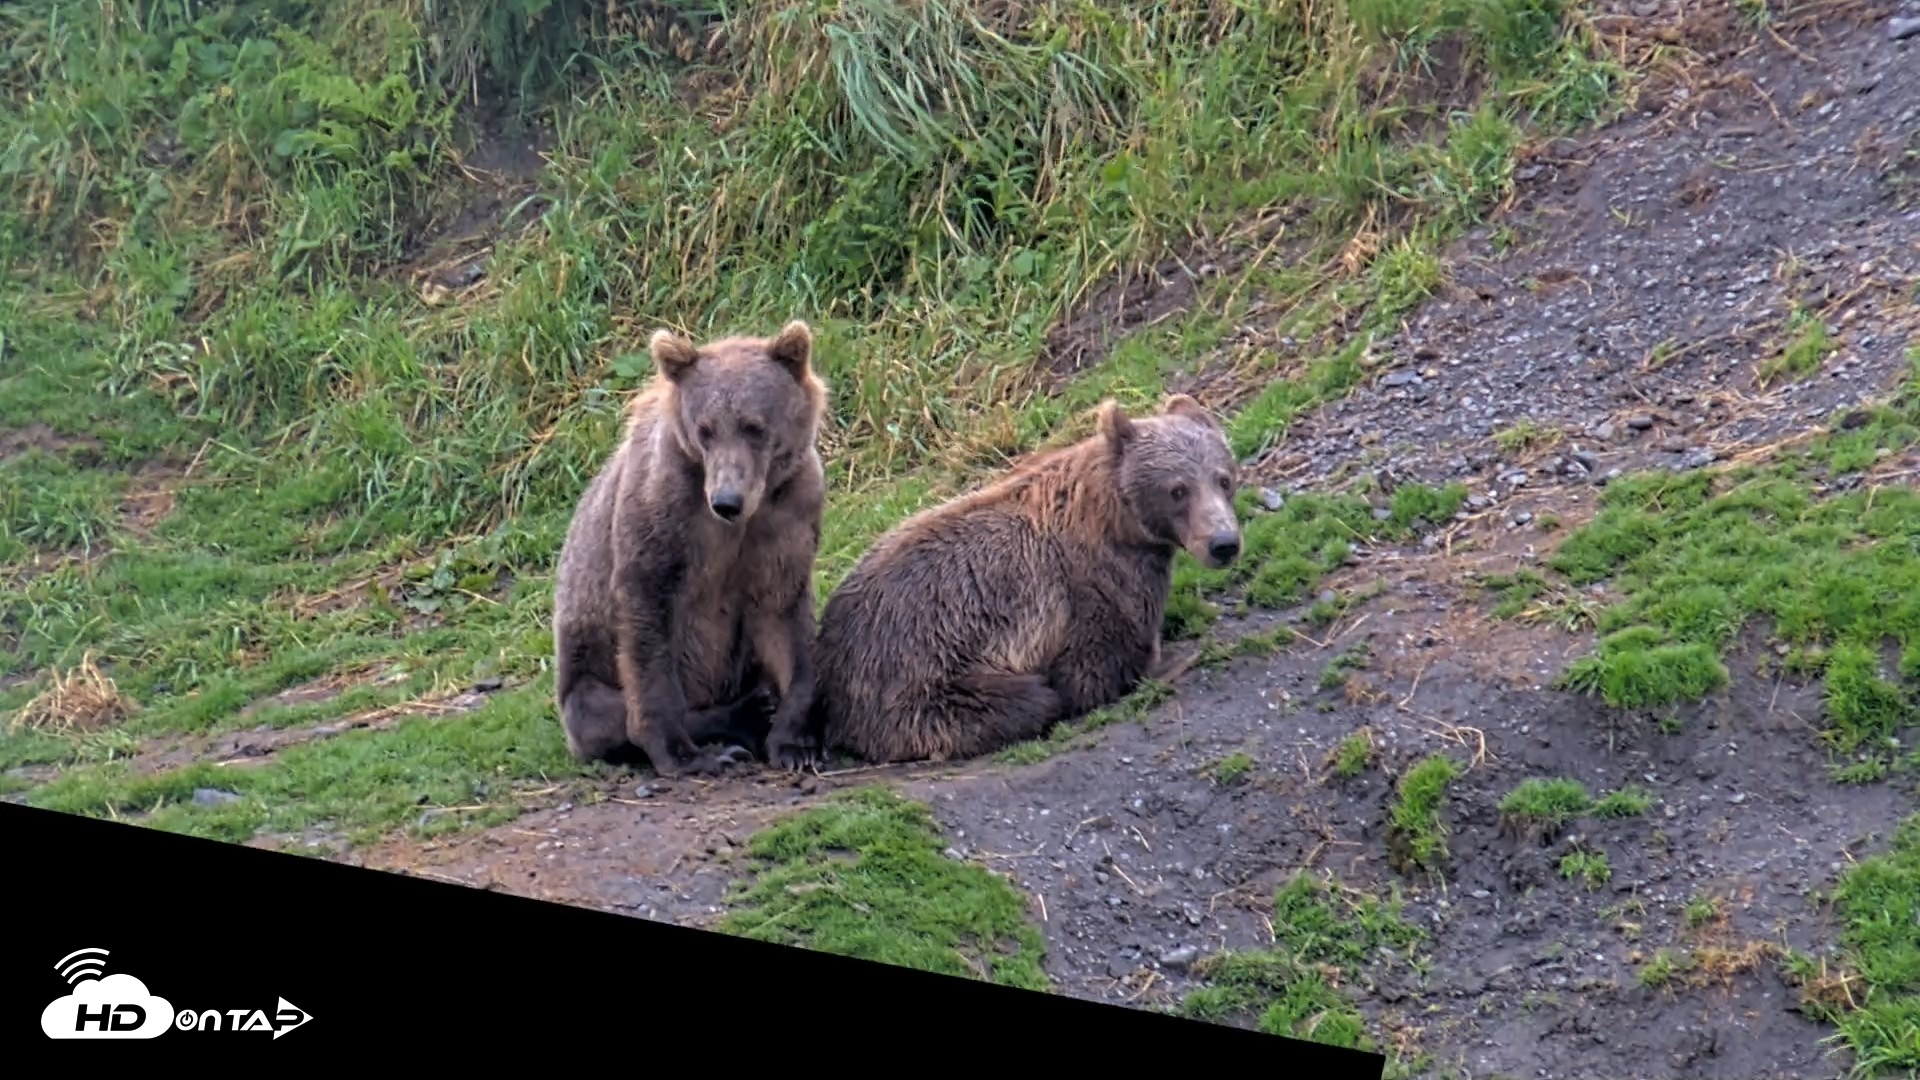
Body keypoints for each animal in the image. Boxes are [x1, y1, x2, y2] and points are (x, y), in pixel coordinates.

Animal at [552, 319, 830, 776]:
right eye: (706, 430)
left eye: (755, 426)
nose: (726, 501)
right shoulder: (662, 515)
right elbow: (648, 628)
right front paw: (685, 753)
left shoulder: (788, 514)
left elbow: (785, 617)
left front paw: (796, 742)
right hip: (586, 673)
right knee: (601, 714)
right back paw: (739, 721)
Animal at [811, 393, 1242, 764]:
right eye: (1178, 490)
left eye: (1223, 478)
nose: (1224, 543)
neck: (1116, 520)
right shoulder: (1090, 584)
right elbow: (1095, 666)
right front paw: (1164, 659)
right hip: (920, 679)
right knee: (1023, 699)